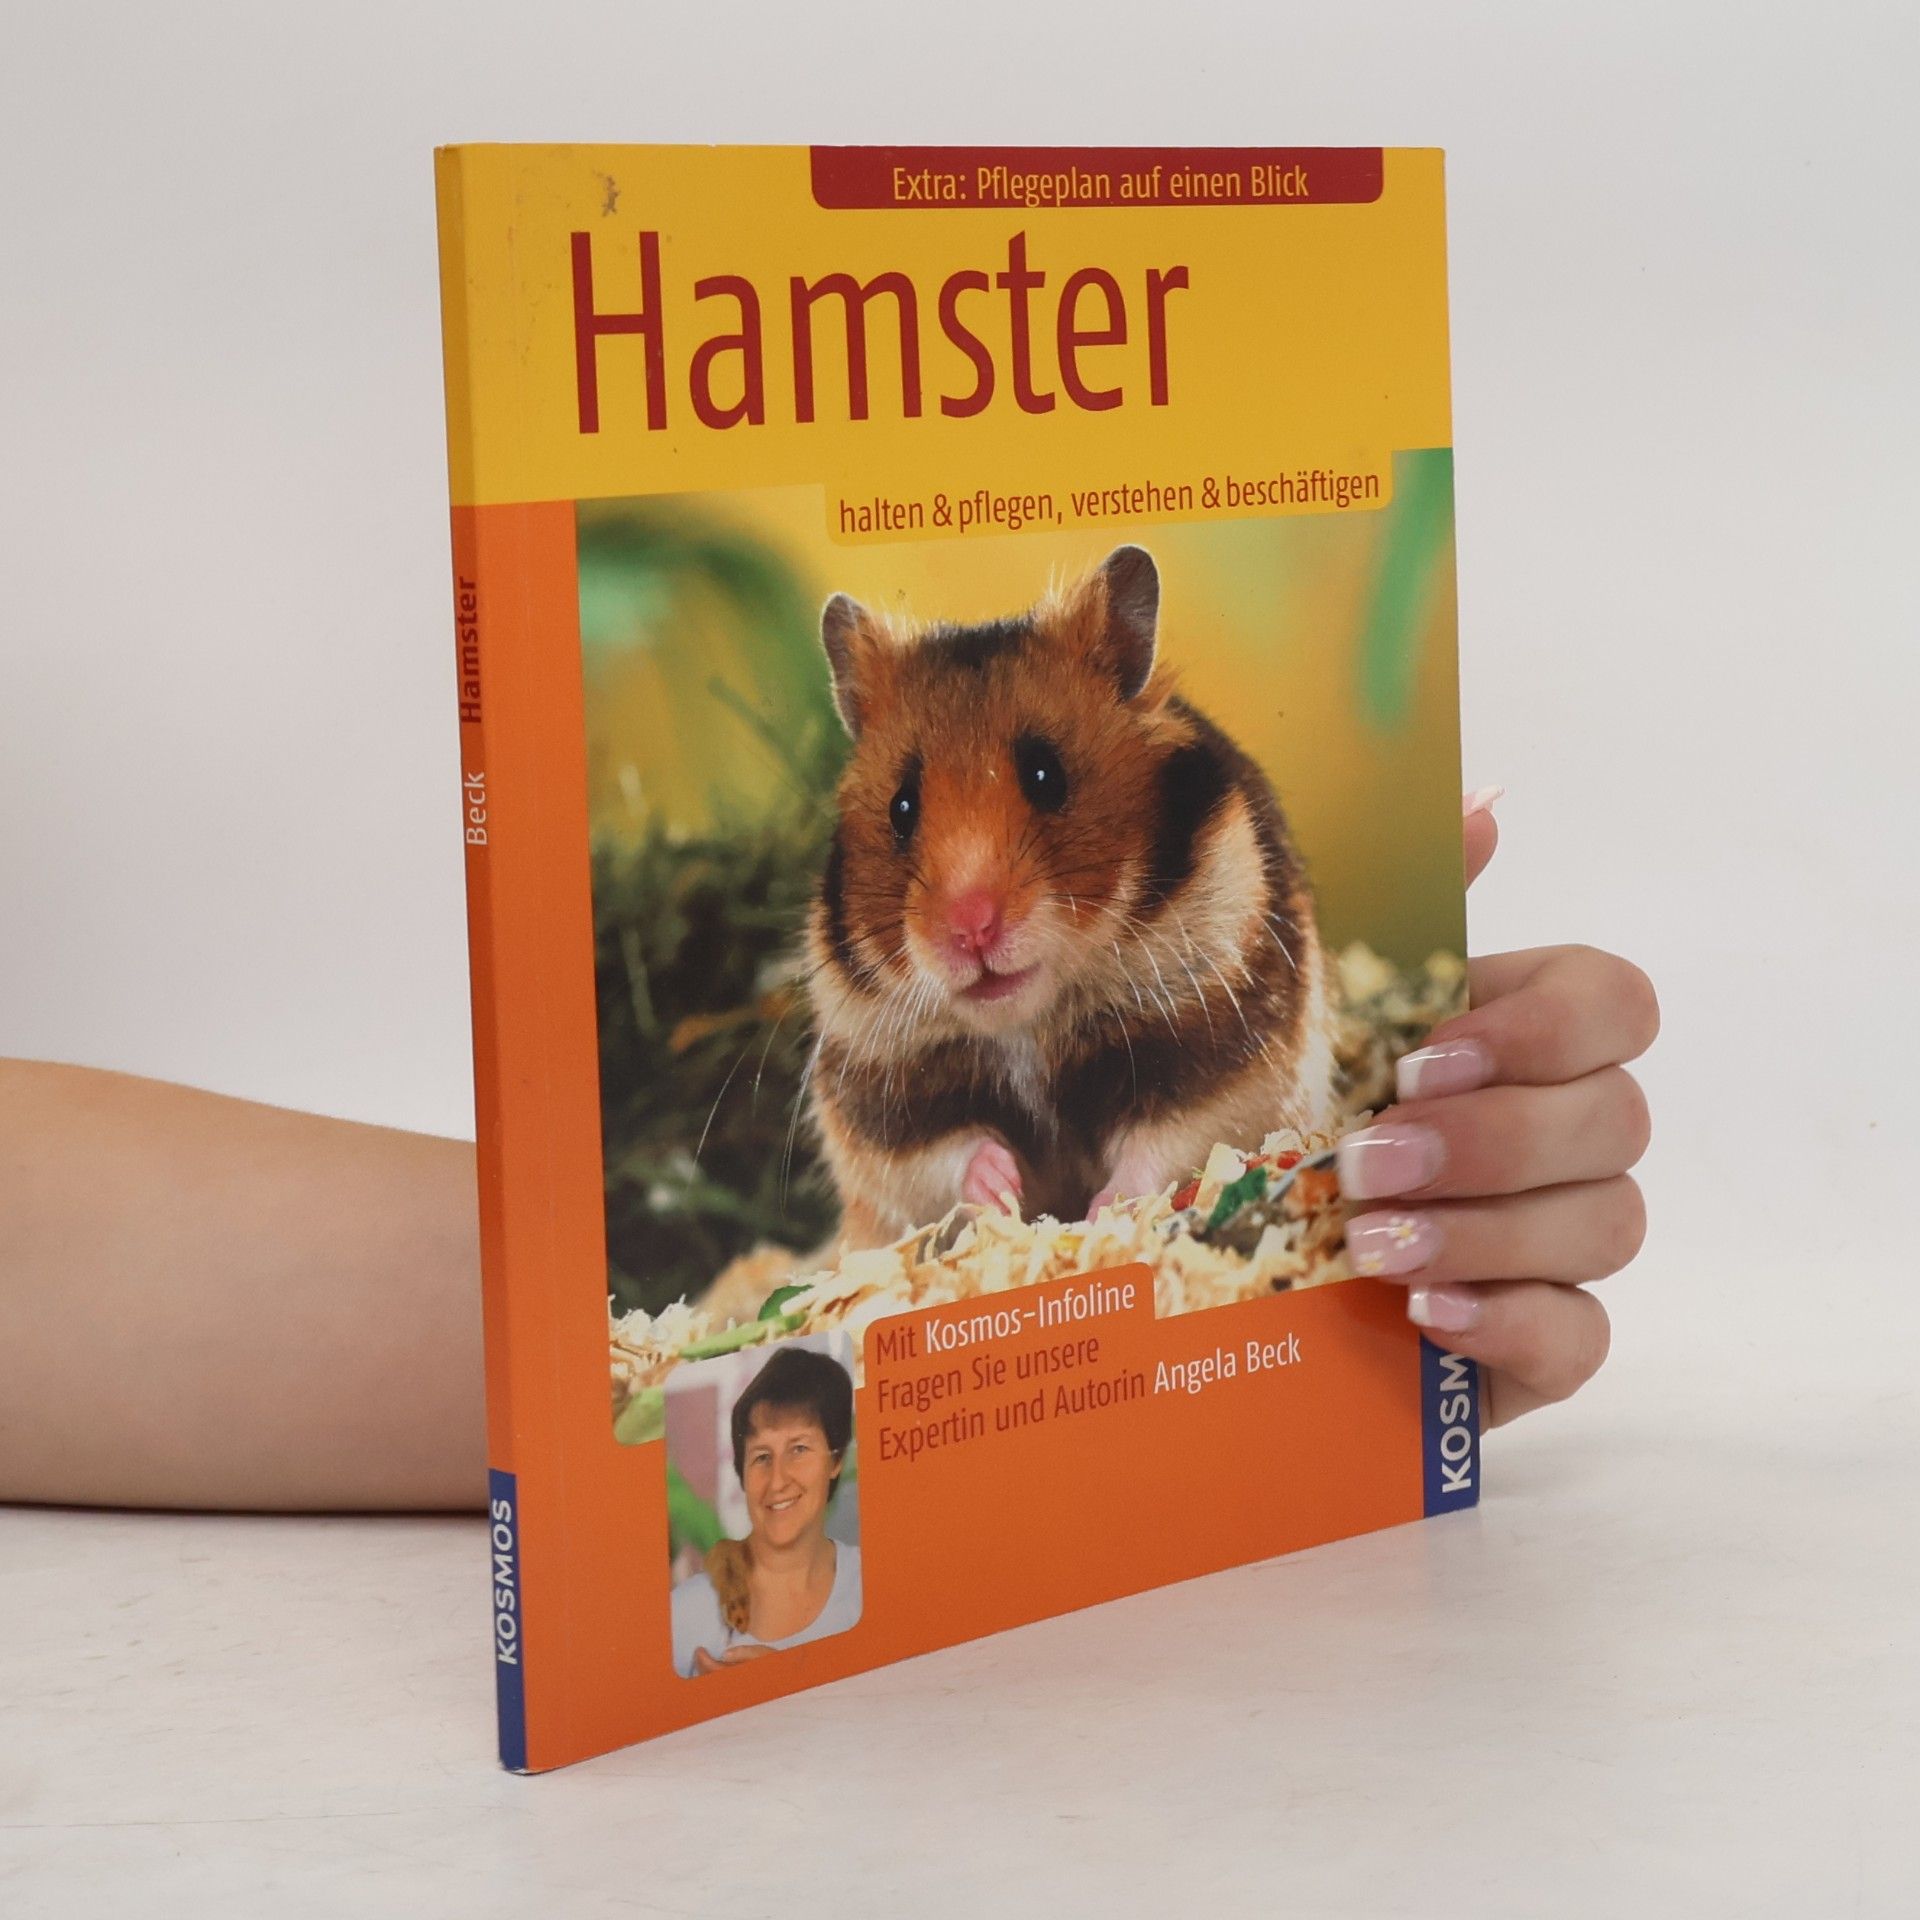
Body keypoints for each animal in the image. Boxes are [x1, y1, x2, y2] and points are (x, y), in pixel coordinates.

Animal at [802, 544, 1340, 1248]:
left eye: (1045, 775)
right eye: (902, 807)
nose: (971, 930)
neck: (1028, 1024)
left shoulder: (1217, 1058)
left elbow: (1158, 1149)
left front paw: (1097, 1215)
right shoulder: (884, 1109)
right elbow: (951, 1156)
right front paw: (1005, 1192)